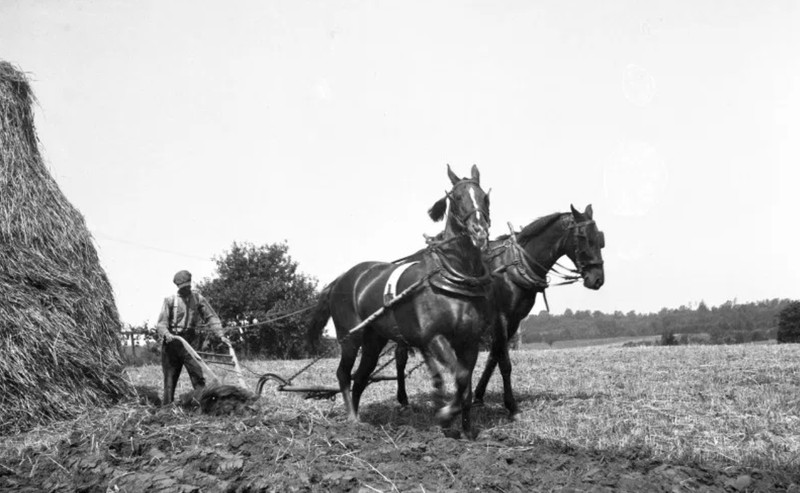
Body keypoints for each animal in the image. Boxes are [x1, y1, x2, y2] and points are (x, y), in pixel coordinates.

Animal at [306, 165, 494, 438]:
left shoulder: (470, 342)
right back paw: (352, 419)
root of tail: (342, 278)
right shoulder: (434, 337)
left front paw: (467, 432)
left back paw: (359, 418)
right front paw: (446, 414)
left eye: (484, 197)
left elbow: (466, 385)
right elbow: (459, 377)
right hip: (350, 337)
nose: (479, 231)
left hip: (374, 340)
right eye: (457, 198)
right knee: (344, 374)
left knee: (360, 377)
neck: (454, 278)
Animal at [394, 204, 608, 416]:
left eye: (600, 238)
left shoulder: (514, 320)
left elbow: (493, 358)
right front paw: (511, 405)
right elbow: (504, 362)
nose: (597, 279)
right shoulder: (500, 317)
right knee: (401, 356)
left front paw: (478, 396)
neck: (514, 265)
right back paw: (403, 401)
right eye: (583, 237)